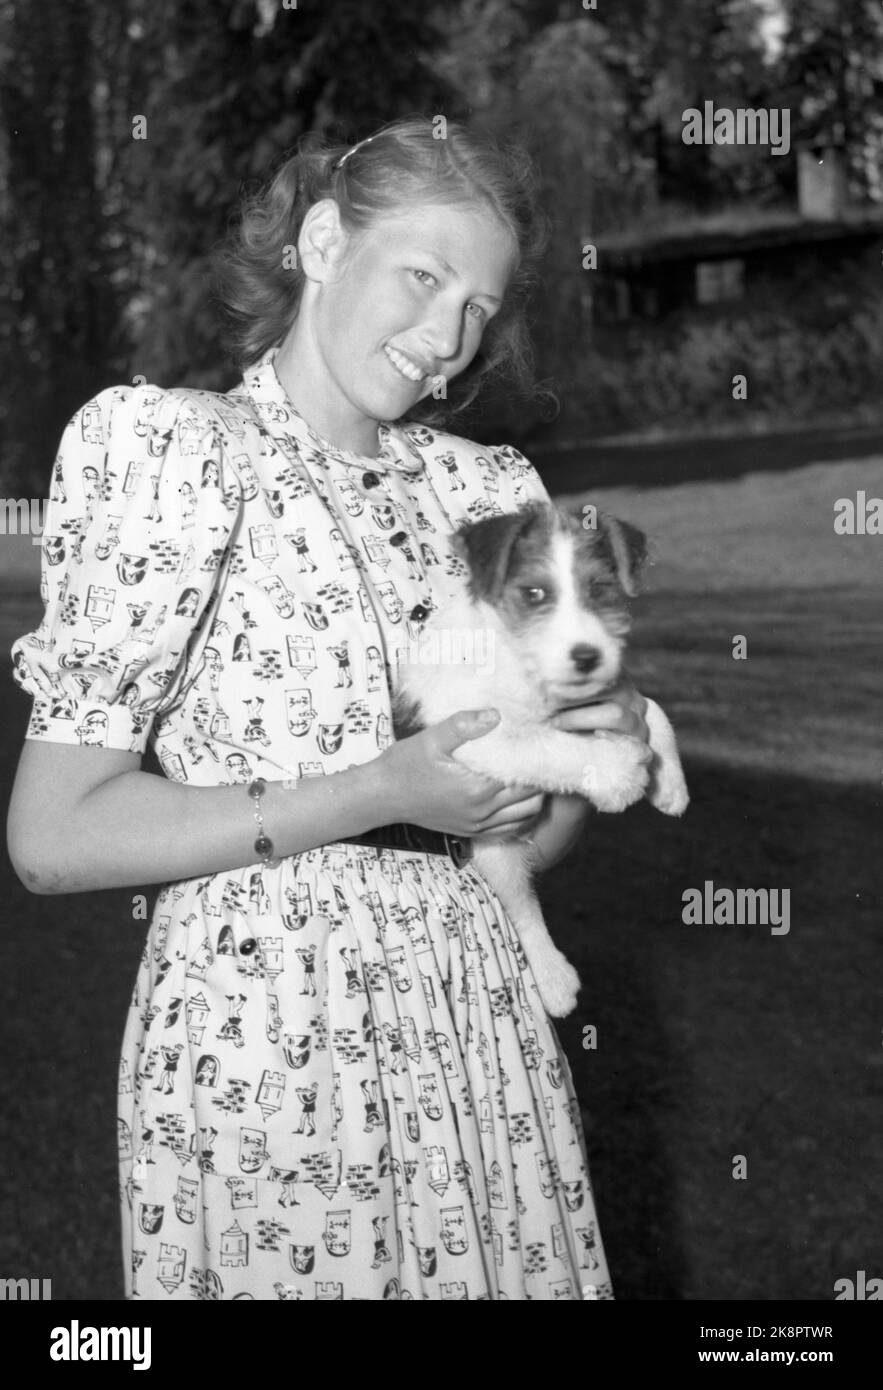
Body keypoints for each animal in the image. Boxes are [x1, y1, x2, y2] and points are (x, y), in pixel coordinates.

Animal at [394, 505, 689, 1017]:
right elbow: (550, 746)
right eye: (534, 593)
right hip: (495, 853)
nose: (586, 657)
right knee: (522, 908)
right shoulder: (475, 736)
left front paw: (670, 785)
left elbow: (653, 710)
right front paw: (618, 774)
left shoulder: (612, 693)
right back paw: (554, 980)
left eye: (601, 588)